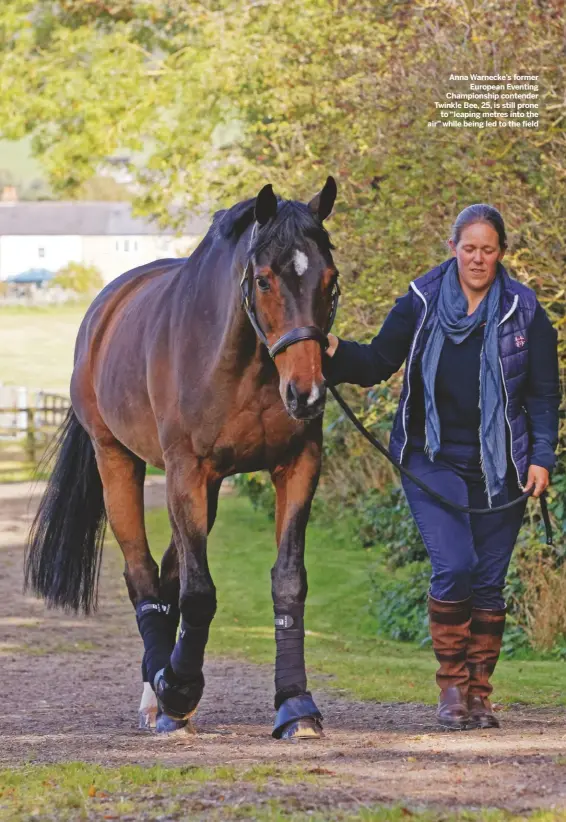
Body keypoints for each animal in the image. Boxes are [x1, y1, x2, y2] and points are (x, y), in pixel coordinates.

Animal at [25, 179, 342, 740]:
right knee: (143, 574)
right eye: (264, 280)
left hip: (207, 490)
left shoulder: (297, 466)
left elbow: (287, 582)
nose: (305, 394)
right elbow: (197, 593)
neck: (239, 364)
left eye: (331, 279)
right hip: (119, 462)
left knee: (169, 575)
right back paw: (162, 690)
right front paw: (179, 688)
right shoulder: (185, 472)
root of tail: (105, 307)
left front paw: (295, 704)